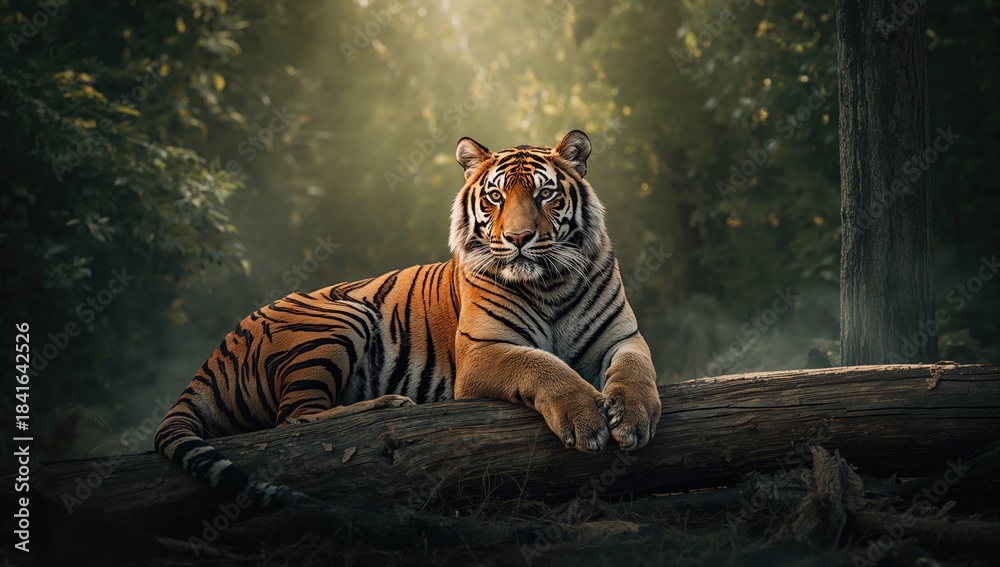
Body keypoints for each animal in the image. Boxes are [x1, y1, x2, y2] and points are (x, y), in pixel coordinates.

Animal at [154, 130, 662, 507]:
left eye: (545, 195)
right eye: (496, 197)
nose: (518, 238)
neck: (550, 284)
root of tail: (213, 357)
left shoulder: (622, 337)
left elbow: (637, 371)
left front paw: (634, 418)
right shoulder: (483, 350)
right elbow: (544, 366)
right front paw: (586, 420)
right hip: (342, 315)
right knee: (294, 420)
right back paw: (389, 405)